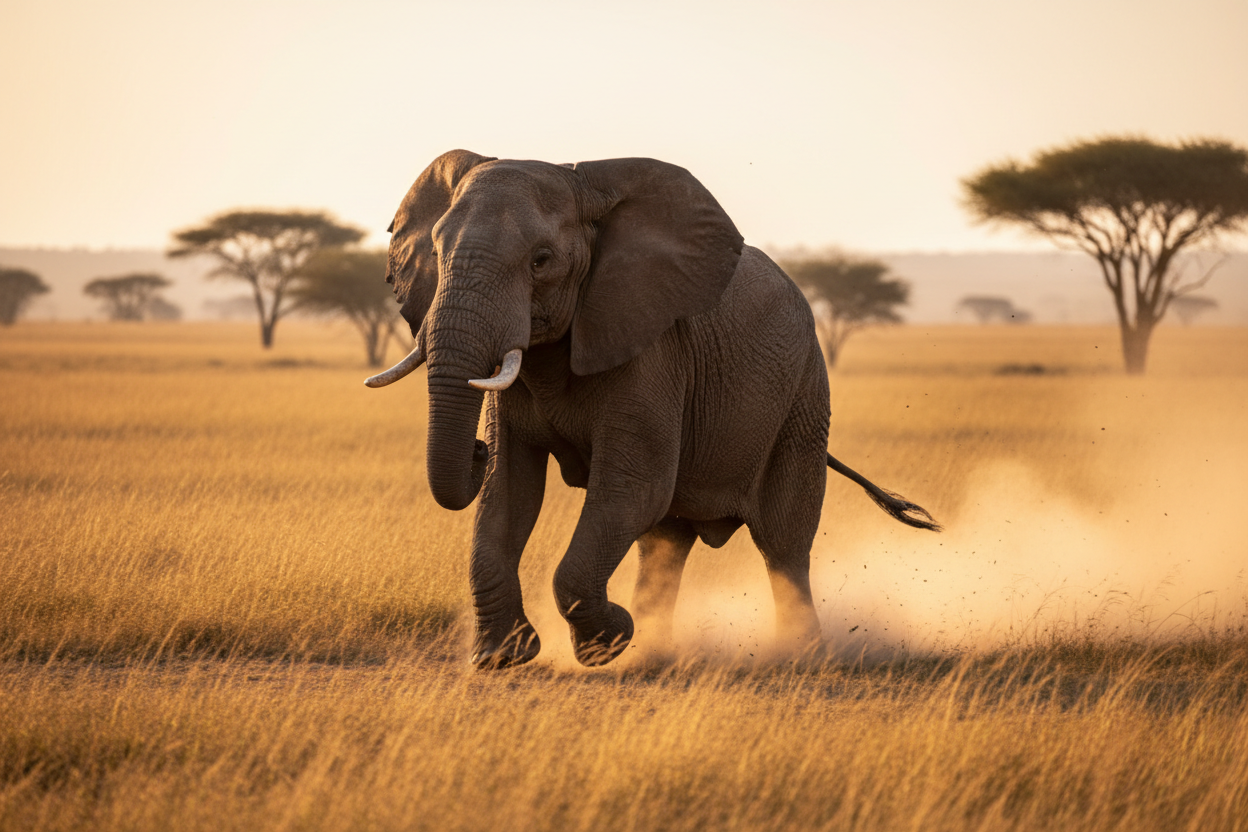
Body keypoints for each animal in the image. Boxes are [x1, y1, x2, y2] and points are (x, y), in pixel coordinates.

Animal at [366, 150, 939, 669]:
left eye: (541, 260)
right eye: (436, 251)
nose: (475, 449)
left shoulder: (652, 350)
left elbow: (632, 485)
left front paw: (608, 643)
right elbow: (508, 490)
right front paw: (502, 658)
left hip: (803, 395)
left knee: (783, 542)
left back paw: (801, 657)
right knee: (665, 541)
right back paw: (656, 653)